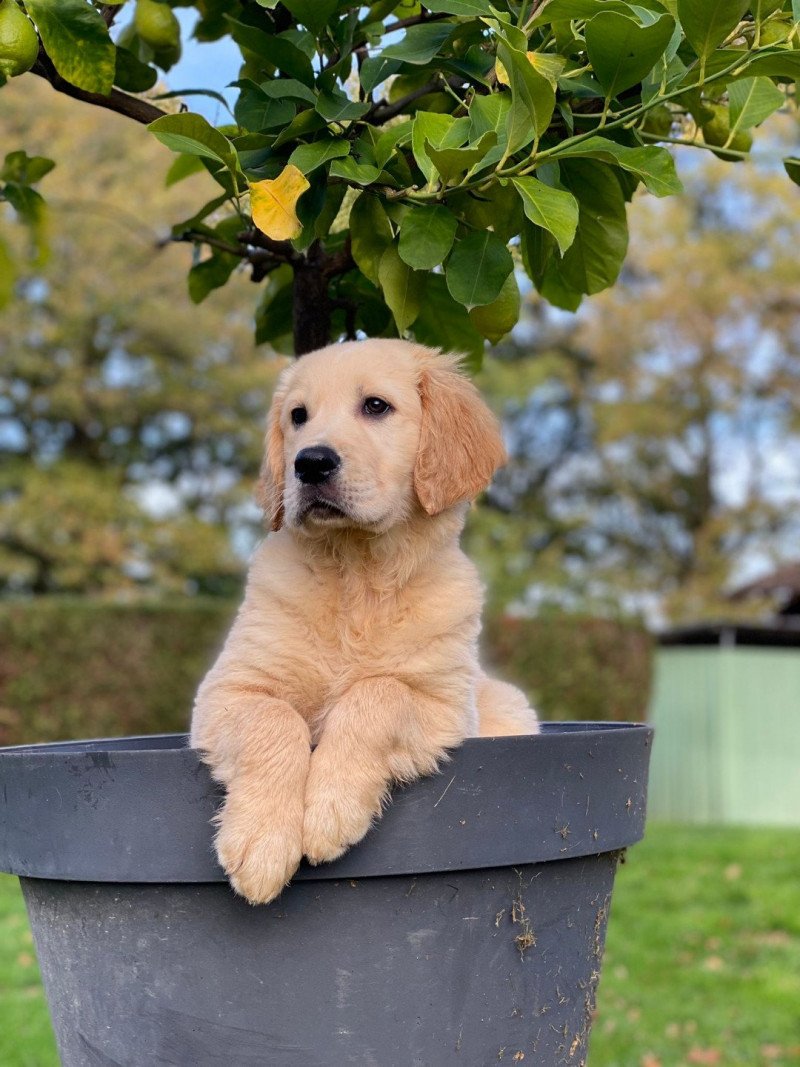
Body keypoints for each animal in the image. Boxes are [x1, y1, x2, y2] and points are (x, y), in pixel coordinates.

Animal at [189, 339, 535, 900]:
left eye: (376, 406)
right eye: (298, 416)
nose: (310, 463)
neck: (358, 579)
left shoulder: (440, 703)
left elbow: (378, 694)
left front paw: (330, 809)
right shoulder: (230, 690)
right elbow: (273, 719)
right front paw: (261, 841)